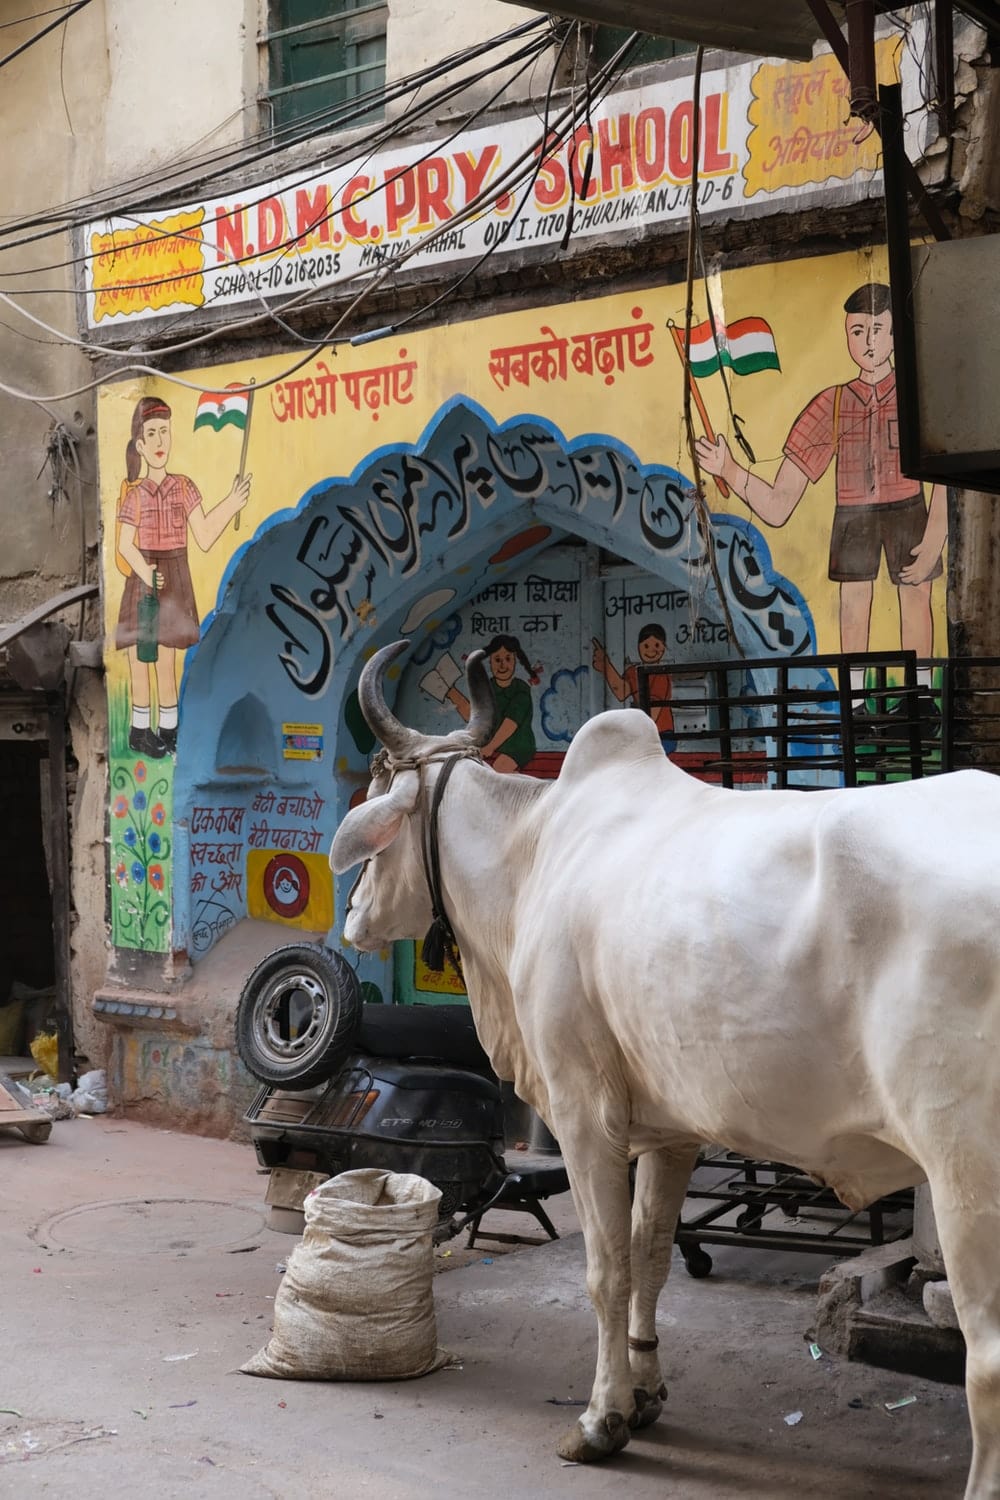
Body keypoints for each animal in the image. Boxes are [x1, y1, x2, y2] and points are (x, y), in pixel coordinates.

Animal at [331, 638, 999, 1497]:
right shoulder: (672, 1130)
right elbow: (651, 1257)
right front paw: (645, 1393)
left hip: (965, 1171)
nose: (353, 917)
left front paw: (601, 1418)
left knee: (985, 1357)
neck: (533, 851)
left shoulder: (584, 1111)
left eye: (381, 783)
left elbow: (606, 1269)